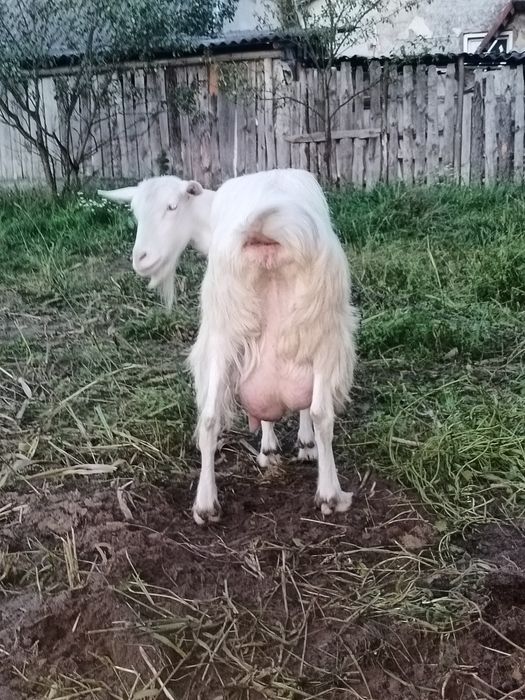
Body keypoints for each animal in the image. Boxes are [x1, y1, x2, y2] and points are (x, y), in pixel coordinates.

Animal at [99, 169, 358, 524]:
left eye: (172, 206)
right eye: (135, 213)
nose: (141, 259)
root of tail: (264, 227)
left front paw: (289, 447)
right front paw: (280, 449)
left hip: (234, 328)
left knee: (211, 419)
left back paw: (207, 504)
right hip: (313, 324)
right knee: (318, 412)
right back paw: (329, 495)